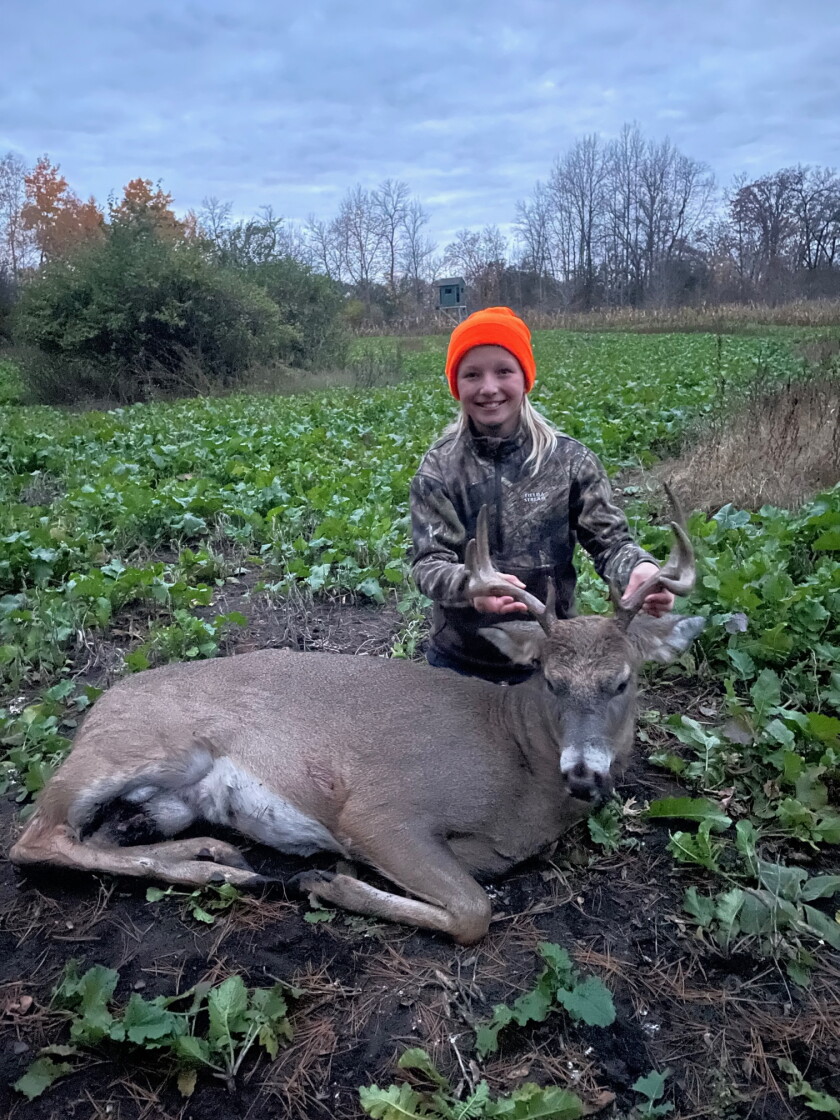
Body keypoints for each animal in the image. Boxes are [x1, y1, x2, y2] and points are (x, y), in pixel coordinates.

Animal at [9, 506, 705, 944]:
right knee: (35, 839)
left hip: (169, 799)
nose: (584, 772)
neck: (518, 766)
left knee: (101, 837)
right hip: (142, 747)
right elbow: (473, 911)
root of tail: (100, 702)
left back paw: (217, 855)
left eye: (623, 681)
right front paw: (327, 881)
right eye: (550, 680)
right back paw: (225, 871)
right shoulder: (381, 810)